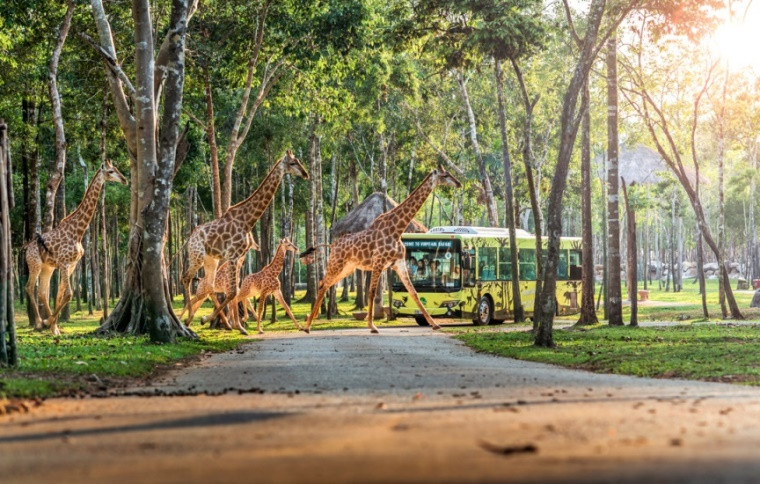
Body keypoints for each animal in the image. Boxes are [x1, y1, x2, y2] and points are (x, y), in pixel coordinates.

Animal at [25, 161, 127, 334]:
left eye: (117, 169)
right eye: (111, 171)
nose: (125, 180)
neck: (78, 232)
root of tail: (25, 250)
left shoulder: (71, 264)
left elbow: (60, 294)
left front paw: (54, 326)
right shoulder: (64, 263)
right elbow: (69, 293)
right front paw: (49, 323)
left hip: (47, 267)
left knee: (42, 292)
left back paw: (47, 323)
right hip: (35, 264)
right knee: (29, 287)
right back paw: (39, 322)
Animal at [181, 151, 308, 332]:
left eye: (298, 161)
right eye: (292, 163)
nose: (305, 174)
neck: (247, 221)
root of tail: (189, 238)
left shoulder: (235, 256)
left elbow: (234, 292)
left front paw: (231, 324)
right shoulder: (233, 255)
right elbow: (233, 292)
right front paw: (238, 325)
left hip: (211, 259)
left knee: (209, 286)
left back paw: (200, 319)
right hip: (196, 255)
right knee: (186, 278)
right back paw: (188, 319)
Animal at [304, 165, 464, 332]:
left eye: (449, 174)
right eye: (445, 175)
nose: (459, 183)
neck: (397, 229)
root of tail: (332, 245)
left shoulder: (398, 263)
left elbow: (414, 292)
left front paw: (434, 324)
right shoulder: (379, 262)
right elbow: (372, 292)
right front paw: (372, 325)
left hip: (347, 268)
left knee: (325, 284)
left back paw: (310, 321)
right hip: (336, 263)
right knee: (323, 284)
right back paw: (307, 325)